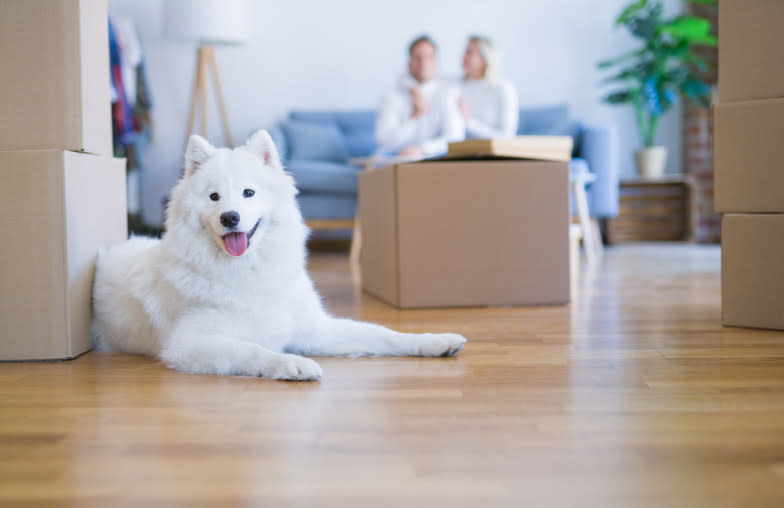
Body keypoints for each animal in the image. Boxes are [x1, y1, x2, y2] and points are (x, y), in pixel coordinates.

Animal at [95, 131, 468, 380]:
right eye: (214, 197)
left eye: (248, 193)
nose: (230, 217)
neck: (248, 270)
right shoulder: (189, 344)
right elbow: (252, 349)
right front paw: (292, 364)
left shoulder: (316, 329)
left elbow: (382, 333)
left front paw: (435, 341)